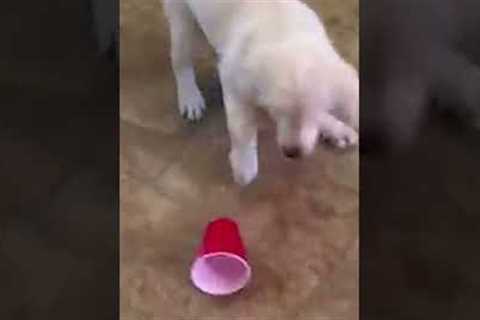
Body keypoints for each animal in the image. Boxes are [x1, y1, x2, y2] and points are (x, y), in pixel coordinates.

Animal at [163, 0, 358, 185]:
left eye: (316, 111)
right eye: (277, 112)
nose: (293, 153)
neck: (286, 36)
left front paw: (336, 127)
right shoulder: (234, 84)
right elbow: (241, 128)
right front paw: (244, 165)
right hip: (183, 23)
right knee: (180, 62)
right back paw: (190, 98)